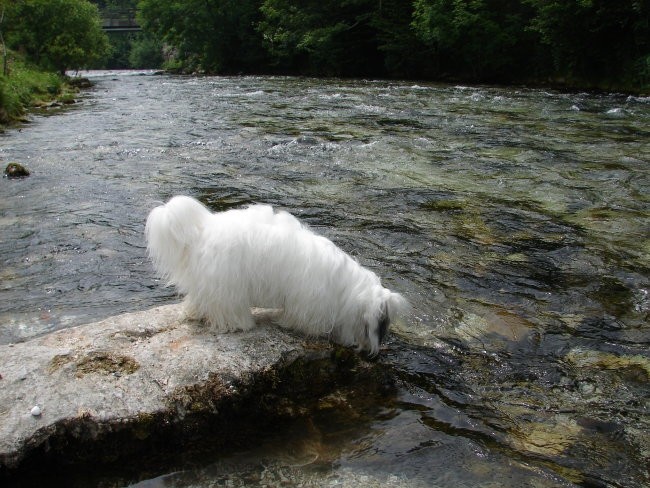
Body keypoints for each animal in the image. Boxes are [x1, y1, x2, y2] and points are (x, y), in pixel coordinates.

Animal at [146, 195, 404, 354]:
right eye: (381, 325)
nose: (377, 347)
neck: (346, 288)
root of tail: (202, 230)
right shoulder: (309, 303)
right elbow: (302, 319)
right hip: (228, 283)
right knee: (227, 307)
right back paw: (241, 324)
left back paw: (193, 312)